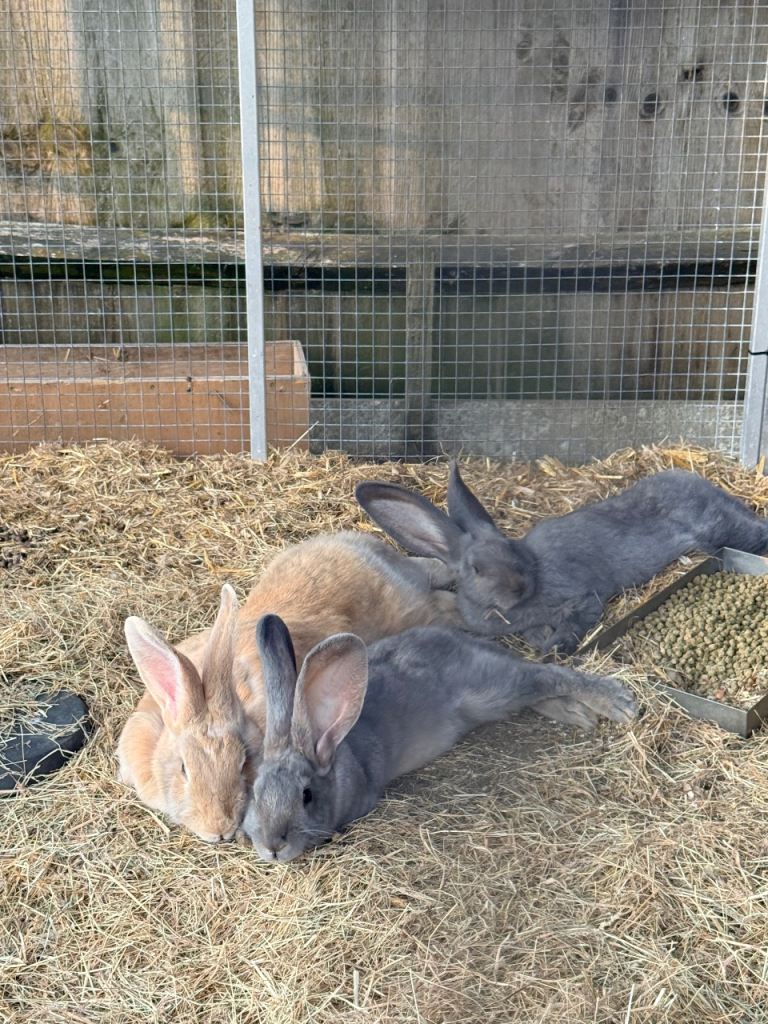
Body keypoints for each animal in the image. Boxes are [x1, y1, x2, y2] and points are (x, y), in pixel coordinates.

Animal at [240, 613, 637, 862]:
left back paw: (616, 702)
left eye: (306, 795)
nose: (272, 845)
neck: (334, 748)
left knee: (547, 674)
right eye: (255, 793)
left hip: (493, 690)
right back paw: (576, 712)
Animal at [355, 465, 768, 655]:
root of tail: (704, 485)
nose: (519, 585)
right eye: (476, 568)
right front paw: (545, 641)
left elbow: (575, 620)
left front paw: (558, 646)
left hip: (724, 527)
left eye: (510, 547)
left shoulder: (582, 597)